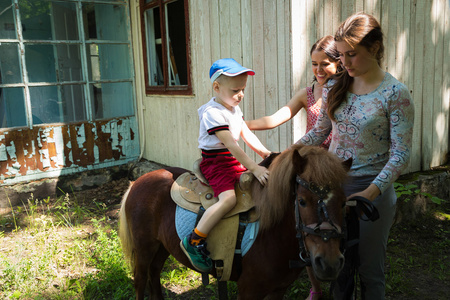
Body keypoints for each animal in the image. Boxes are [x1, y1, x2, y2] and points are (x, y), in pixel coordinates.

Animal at [118, 144, 352, 298]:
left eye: (343, 203)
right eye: (302, 201)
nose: (330, 263)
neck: (272, 234)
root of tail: (139, 181)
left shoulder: (278, 290)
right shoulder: (249, 290)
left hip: (161, 246)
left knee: (154, 273)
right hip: (144, 247)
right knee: (140, 279)